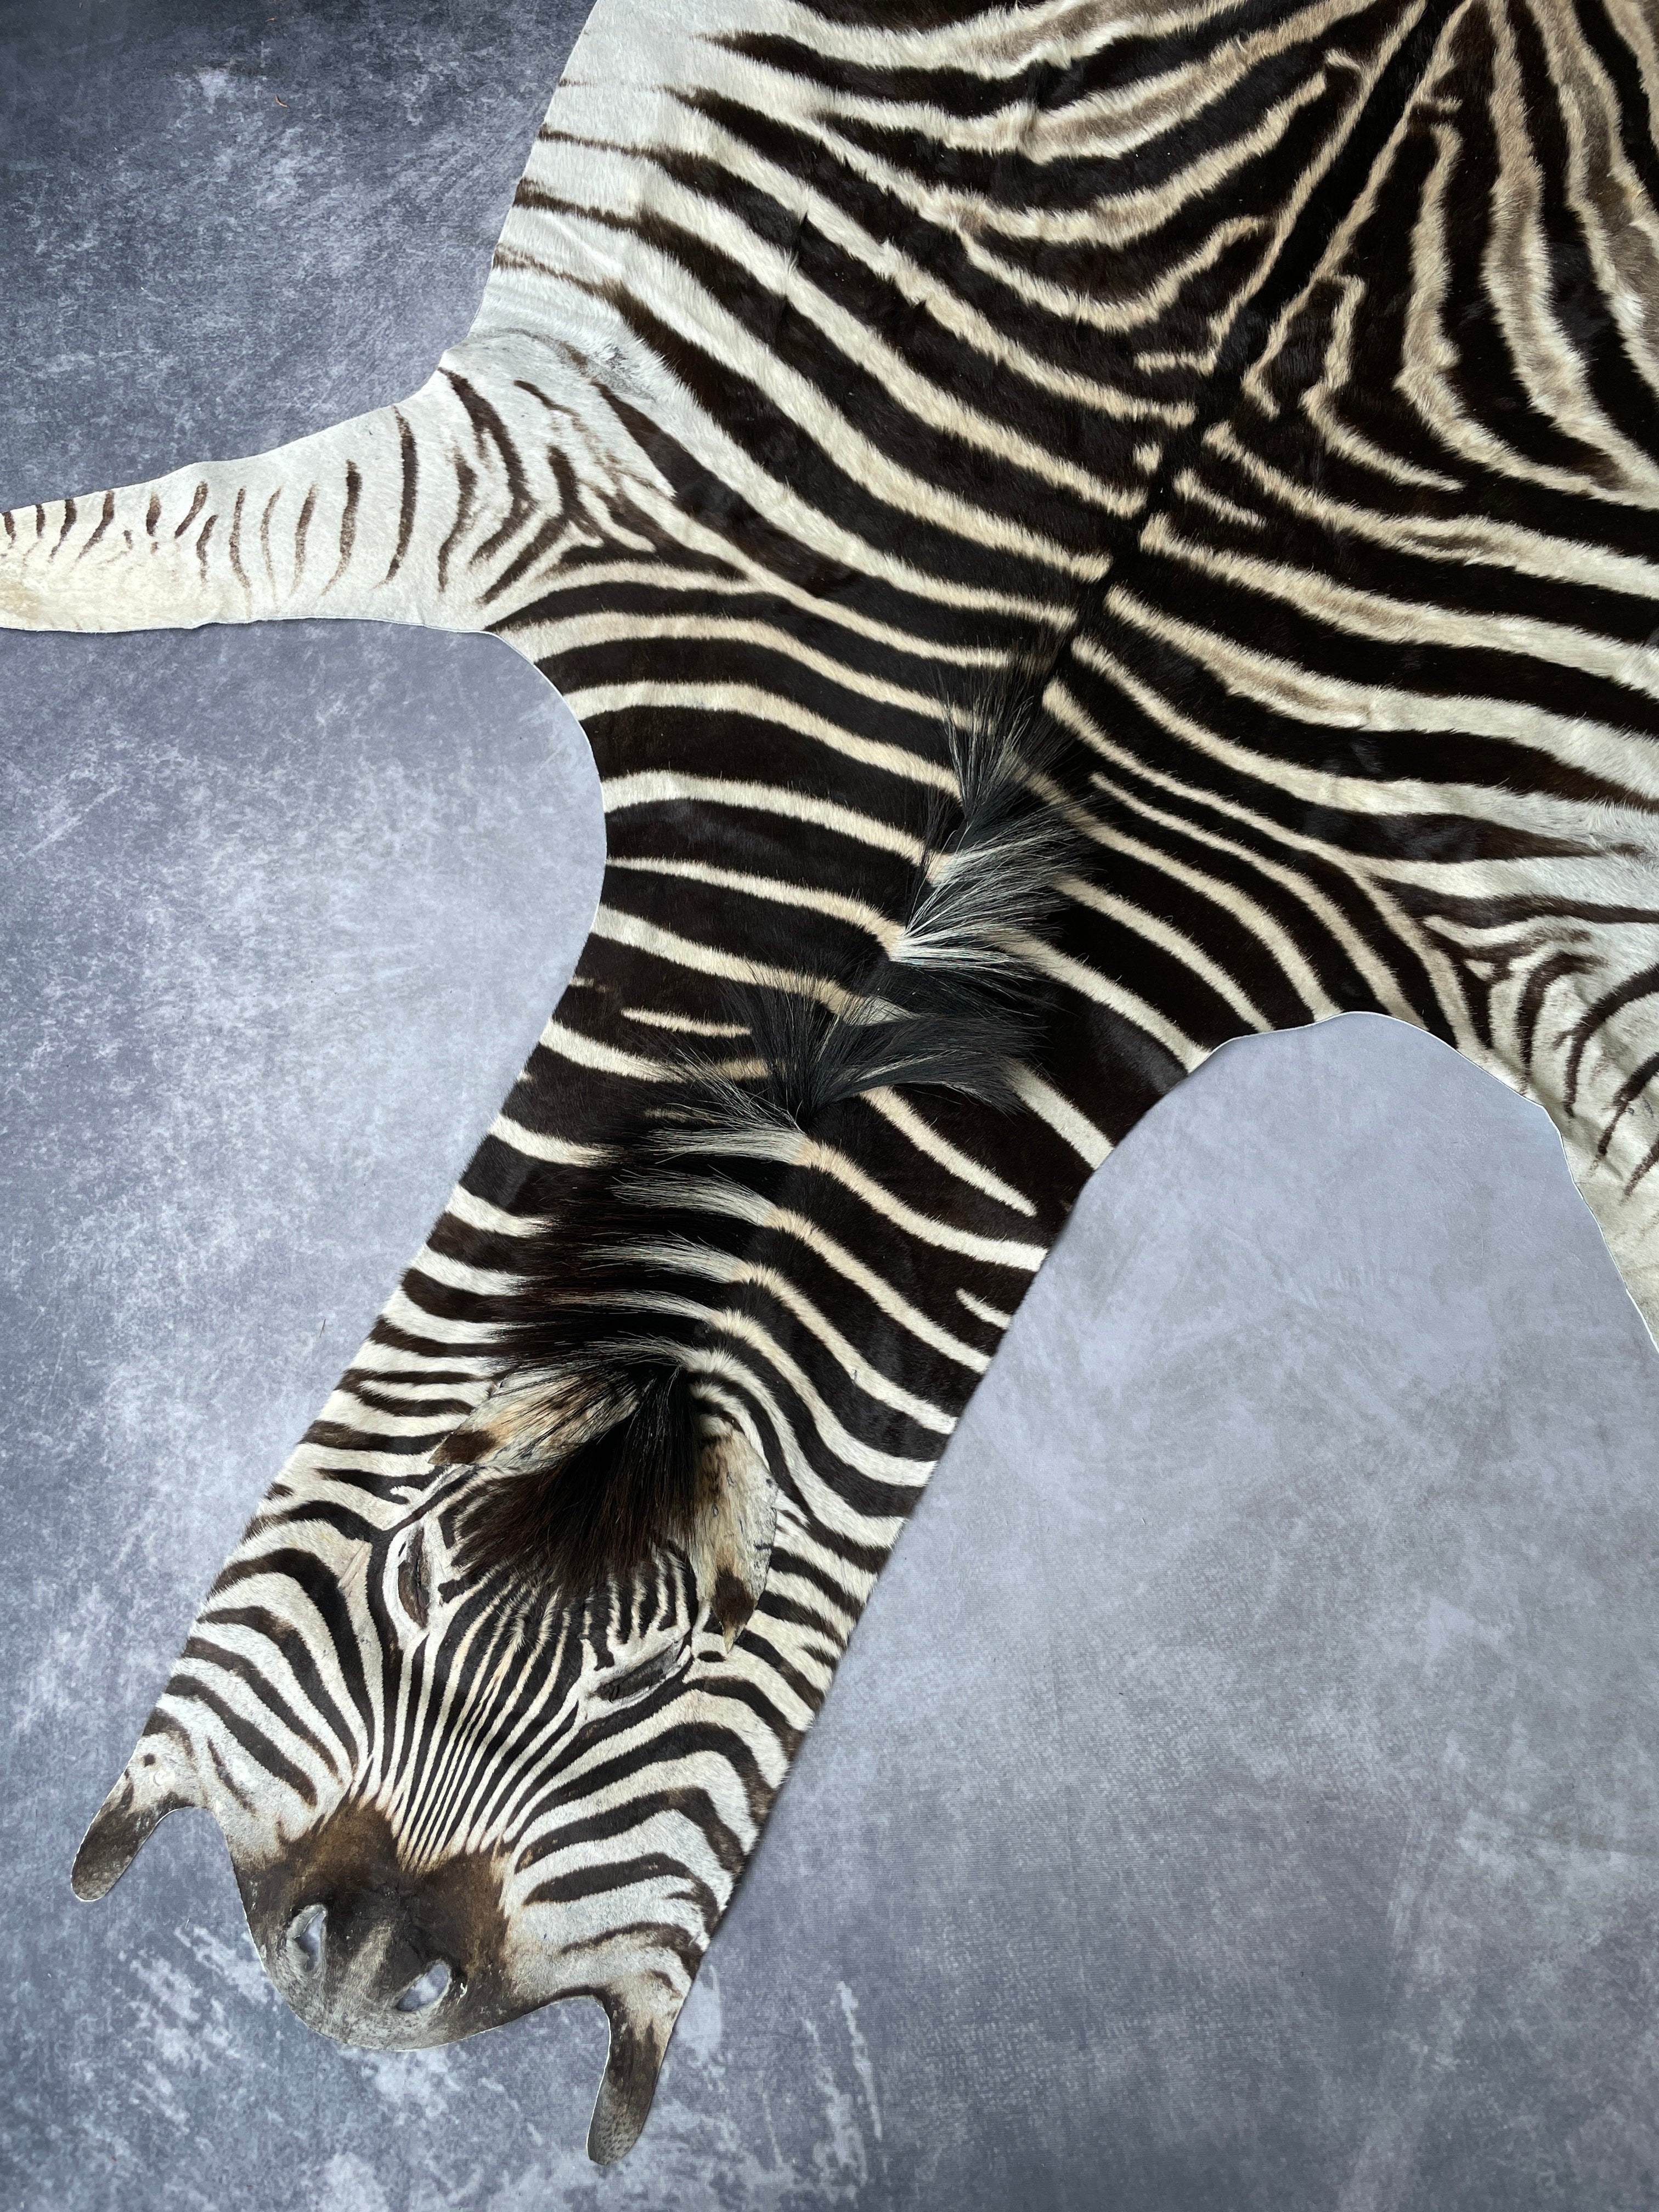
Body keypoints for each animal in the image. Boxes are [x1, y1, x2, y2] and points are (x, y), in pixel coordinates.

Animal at [7, 0, 1659, 2166]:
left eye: (658, 1678)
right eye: (413, 1573)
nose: (356, 1975)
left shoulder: (1522, 938)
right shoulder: (553, 495)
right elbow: (108, 552)